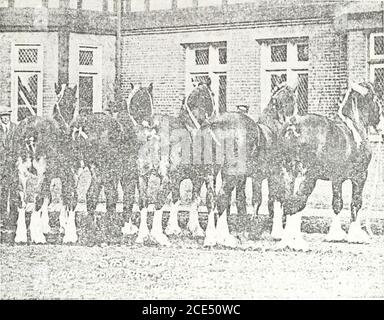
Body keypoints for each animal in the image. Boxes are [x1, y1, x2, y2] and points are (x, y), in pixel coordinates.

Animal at [12, 84, 79, 244]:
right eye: (75, 99)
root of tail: (29, 130)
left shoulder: (52, 175)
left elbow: (51, 198)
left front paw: (48, 226)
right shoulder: (70, 174)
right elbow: (70, 198)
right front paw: (70, 234)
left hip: (20, 173)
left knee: (21, 200)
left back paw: (21, 235)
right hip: (40, 174)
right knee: (37, 198)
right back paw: (38, 237)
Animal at [280, 82, 384, 250]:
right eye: (375, 98)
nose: (381, 126)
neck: (355, 127)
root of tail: (293, 125)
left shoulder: (337, 179)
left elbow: (337, 203)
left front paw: (335, 234)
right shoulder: (360, 176)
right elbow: (356, 203)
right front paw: (356, 235)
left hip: (288, 173)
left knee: (288, 201)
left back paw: (286, 240)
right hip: (306, 176)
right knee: (296, 202)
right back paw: (297, 242)